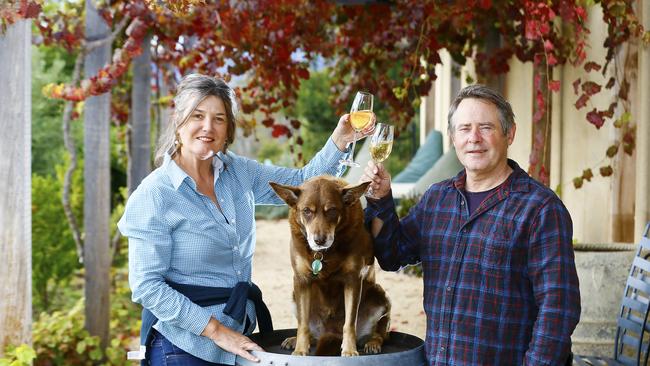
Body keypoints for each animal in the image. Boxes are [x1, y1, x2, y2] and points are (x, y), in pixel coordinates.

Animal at [268, 176, 390, 356]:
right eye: (307, 211)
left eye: (332, 210)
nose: (319, 240)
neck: (324, 253)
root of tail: (329, 333)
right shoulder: (301, 281)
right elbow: (302, 325)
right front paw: (300, 349)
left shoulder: (353, 280)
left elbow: (349, 323)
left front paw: (349, 350)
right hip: (295, 296)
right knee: (309, 330)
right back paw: (296, 340)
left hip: (380, 295)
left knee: (380, 333)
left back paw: (373, 343)